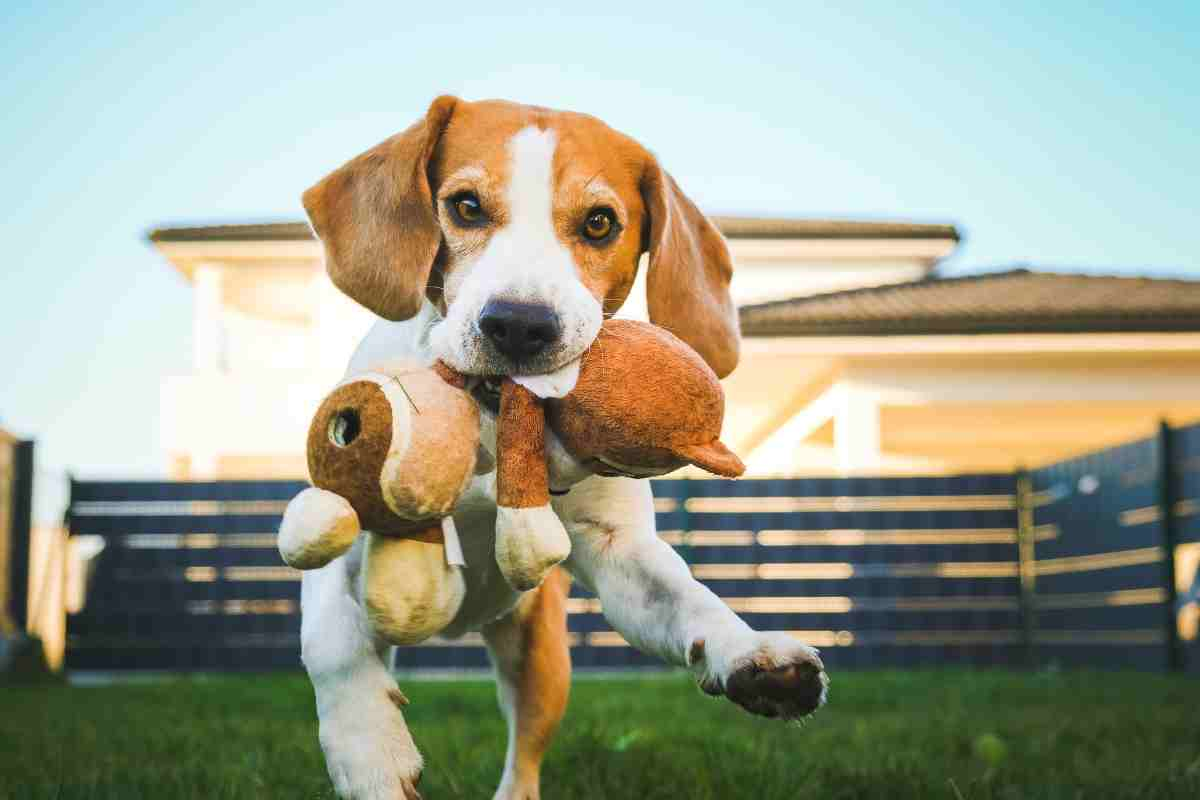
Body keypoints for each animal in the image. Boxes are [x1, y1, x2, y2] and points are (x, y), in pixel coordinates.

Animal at [297, 98, 825, 800]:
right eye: (465, 206)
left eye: (600, 223)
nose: (520, 324)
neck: (492, 427)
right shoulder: (340, 529)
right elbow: (331, 644)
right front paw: (367, 749)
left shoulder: (618, 552)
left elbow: (688, 597)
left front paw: (747, 652)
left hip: (541, 660)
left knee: (524, 755)